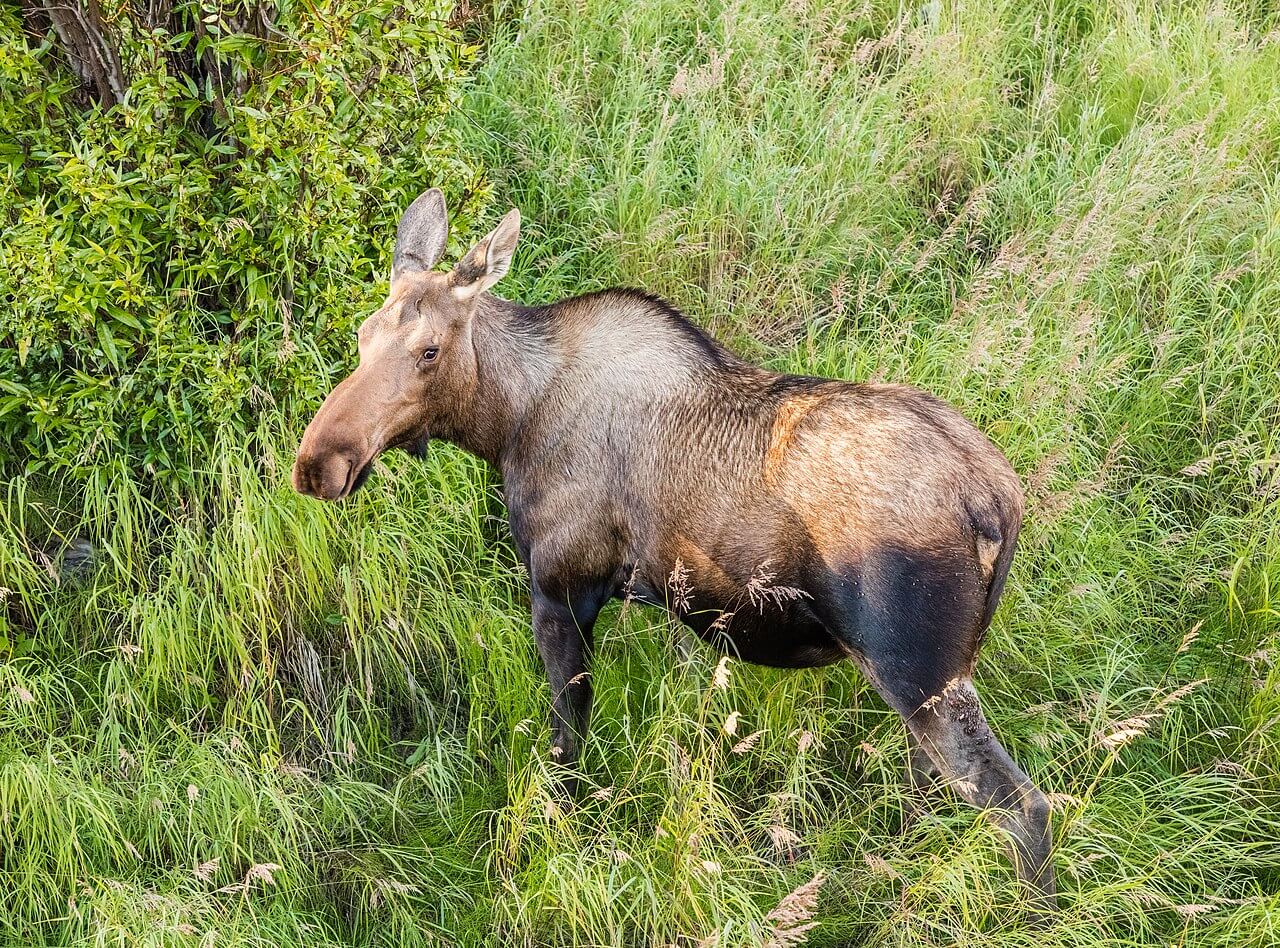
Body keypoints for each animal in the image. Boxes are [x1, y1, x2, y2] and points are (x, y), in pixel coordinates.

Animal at [292, 189, 1057, 911]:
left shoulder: (561, 591)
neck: (504, 421)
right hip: (936, 676)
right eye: (362, 335)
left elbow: (565, 749)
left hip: (918, 670)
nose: (319, 464)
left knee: (1024, 805)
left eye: (429, 350)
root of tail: (1001, 502)